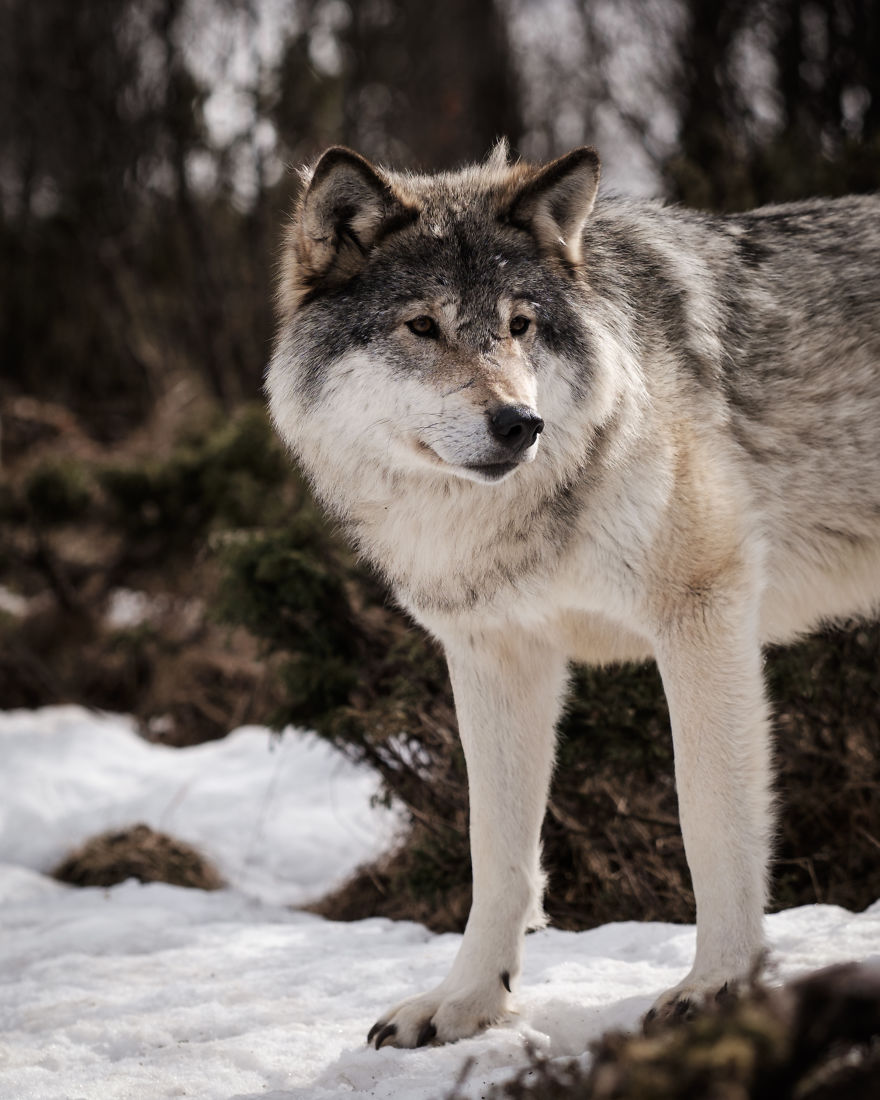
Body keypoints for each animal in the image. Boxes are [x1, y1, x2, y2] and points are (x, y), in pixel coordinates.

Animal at [266, 140, 880, 1048]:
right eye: (423, 326)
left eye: (520, 325)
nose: (520, 424)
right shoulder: (497, 656)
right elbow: (498, 855)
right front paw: (465, 1003)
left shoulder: (704, 616)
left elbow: (711, 820)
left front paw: (717, 988)